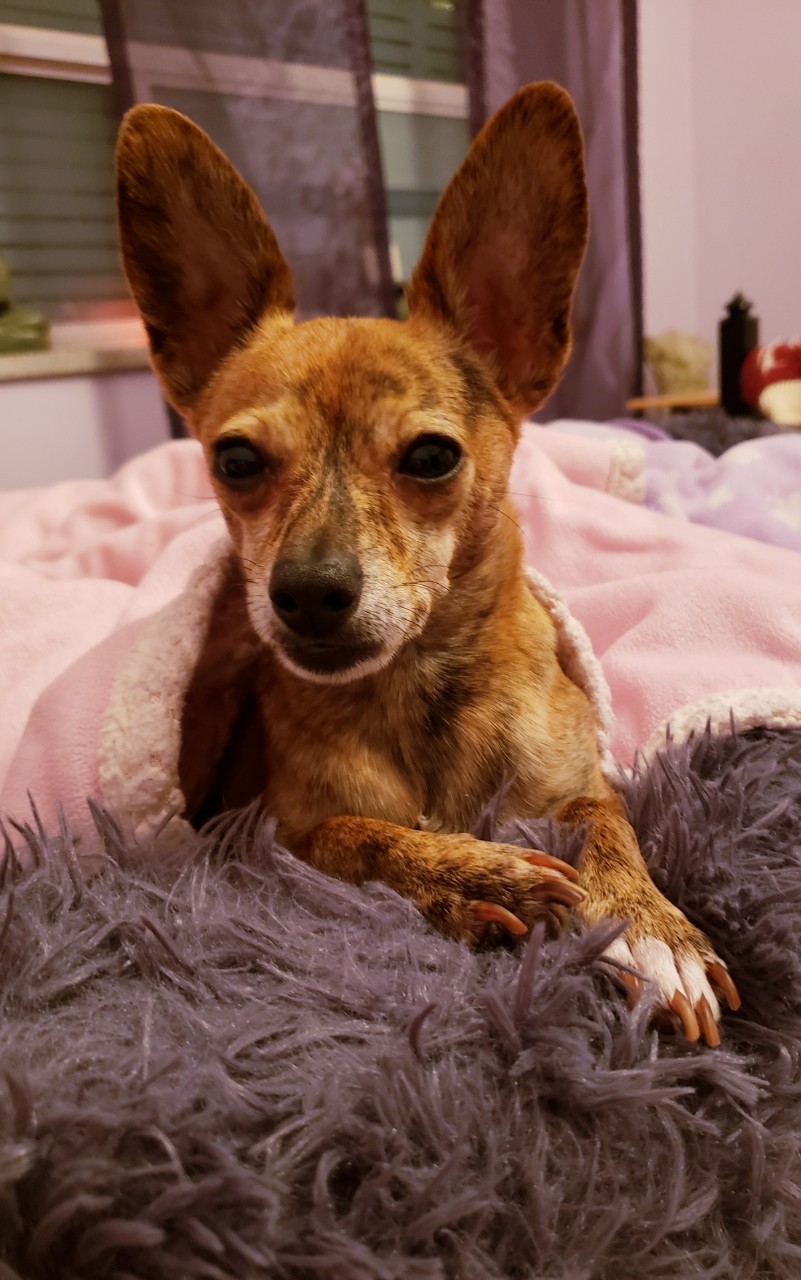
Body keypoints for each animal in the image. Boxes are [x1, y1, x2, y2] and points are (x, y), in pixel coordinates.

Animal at [115, 82, 739, 1046]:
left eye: (433, 458)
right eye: (236, 462)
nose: (306, 594)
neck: (418, 688)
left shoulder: (579, 782)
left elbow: (606, 821)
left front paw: (647, 923)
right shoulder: (270, 835)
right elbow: (360, 837)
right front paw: (476, 873)